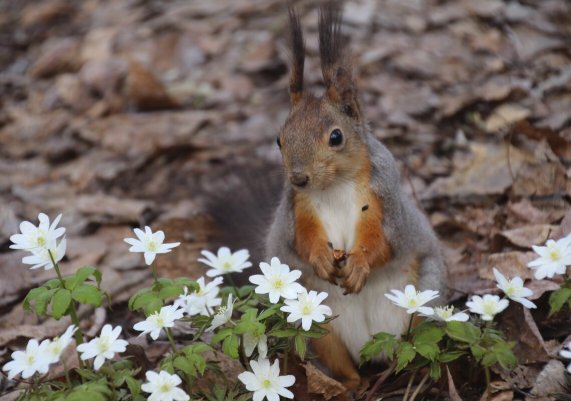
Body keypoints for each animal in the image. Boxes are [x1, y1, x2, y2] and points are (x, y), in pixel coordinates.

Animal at [264, 3, 446, 390]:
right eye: (279, 139)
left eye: (336, 137)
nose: (298, 177)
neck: (333, 186)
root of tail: (372, 346)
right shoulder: (298, 209)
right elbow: (303, 240)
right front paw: (320, 257)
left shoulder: (382, 200)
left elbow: (381, 243)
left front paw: (360, 265)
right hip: (317, 329)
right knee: (342, 363)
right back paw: (350, 385)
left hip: (425, 299)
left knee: (417, 341)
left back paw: (413, 369)